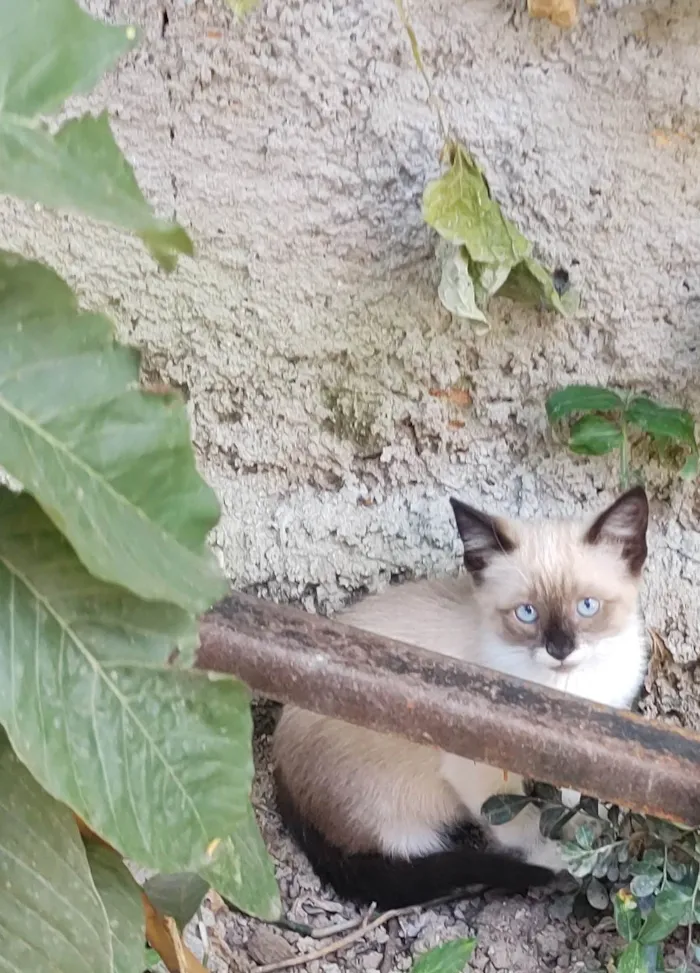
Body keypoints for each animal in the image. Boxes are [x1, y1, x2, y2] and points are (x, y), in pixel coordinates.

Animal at [274, 490, 652, 908]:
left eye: (587, 606)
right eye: (527, 613)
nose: (560, 648)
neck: (567, 690)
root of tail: (280, 772)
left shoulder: (587, 758)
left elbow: (575, 810)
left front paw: (591, 843)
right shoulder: (477, 772)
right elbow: (525, 829)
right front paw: (563, 860)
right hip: (401, 815)